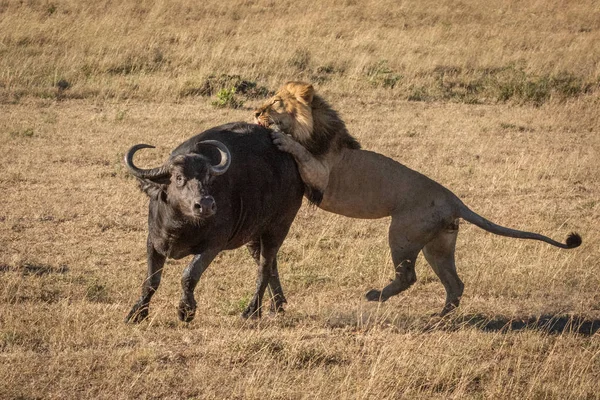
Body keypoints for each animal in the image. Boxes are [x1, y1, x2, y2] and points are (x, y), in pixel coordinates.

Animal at [125, 122, 308, 322]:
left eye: (207, 177)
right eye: (179, 178)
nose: (205, 204)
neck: (180, 226)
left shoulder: (213, 245)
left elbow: (189, 275)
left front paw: (186, 310)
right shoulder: (153, 242)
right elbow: (151, 280)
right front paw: (137, 312)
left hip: (278, 228)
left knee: (264, 268)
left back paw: (252, 311)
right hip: (253, 236)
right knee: (271, 265)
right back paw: (276, 306)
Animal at [253, 81, 580, 316]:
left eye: (276, 102)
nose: (256, 113)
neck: (314, 130)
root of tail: (453, 199)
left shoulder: (322, 174)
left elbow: (299, 150)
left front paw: (281, 138)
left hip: (402, 233)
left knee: (409, 276)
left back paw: (376, 295)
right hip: (438, 245)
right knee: (455, 283)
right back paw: (440, 317)